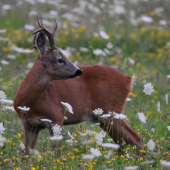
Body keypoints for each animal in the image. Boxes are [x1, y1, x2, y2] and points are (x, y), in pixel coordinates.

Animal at [13, 17, 143, 155]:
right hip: (103, 117)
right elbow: (27, 153)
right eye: (60, 59)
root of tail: (128, 79)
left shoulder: (56, 118)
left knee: (136, 138)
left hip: (111, 110)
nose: (79, 71)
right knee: (119, 141)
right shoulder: (29, 125)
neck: (28, 103)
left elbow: (57, 153)